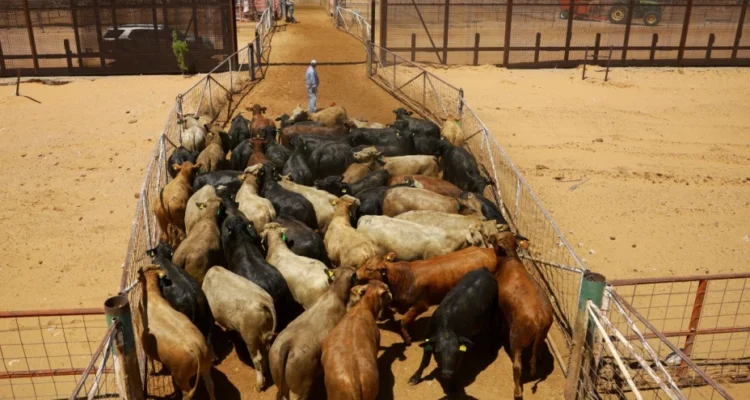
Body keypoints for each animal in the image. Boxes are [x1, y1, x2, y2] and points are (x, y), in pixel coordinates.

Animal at [138, 265, 215, 400]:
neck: (151, 294)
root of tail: (196, 347)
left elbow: (149, 357)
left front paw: (151, 371)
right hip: (206, 366)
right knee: (210, 386)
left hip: (181, 376)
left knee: (187, 393)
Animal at [354, 246, 498, 344]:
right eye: (365, 263)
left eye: (369, 269)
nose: (356, 274)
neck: (403, 277)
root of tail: (489, 250)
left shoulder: (421, 305)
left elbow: (404, 321)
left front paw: (407, 339)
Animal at [490, 231, 553, 399]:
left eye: (496, 238)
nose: (490, 236)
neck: (509, 260)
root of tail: (540, 317)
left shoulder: (500, 309)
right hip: (541, 336)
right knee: (537, 352)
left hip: (516, 340)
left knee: (518, 366)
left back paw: (517, 391)